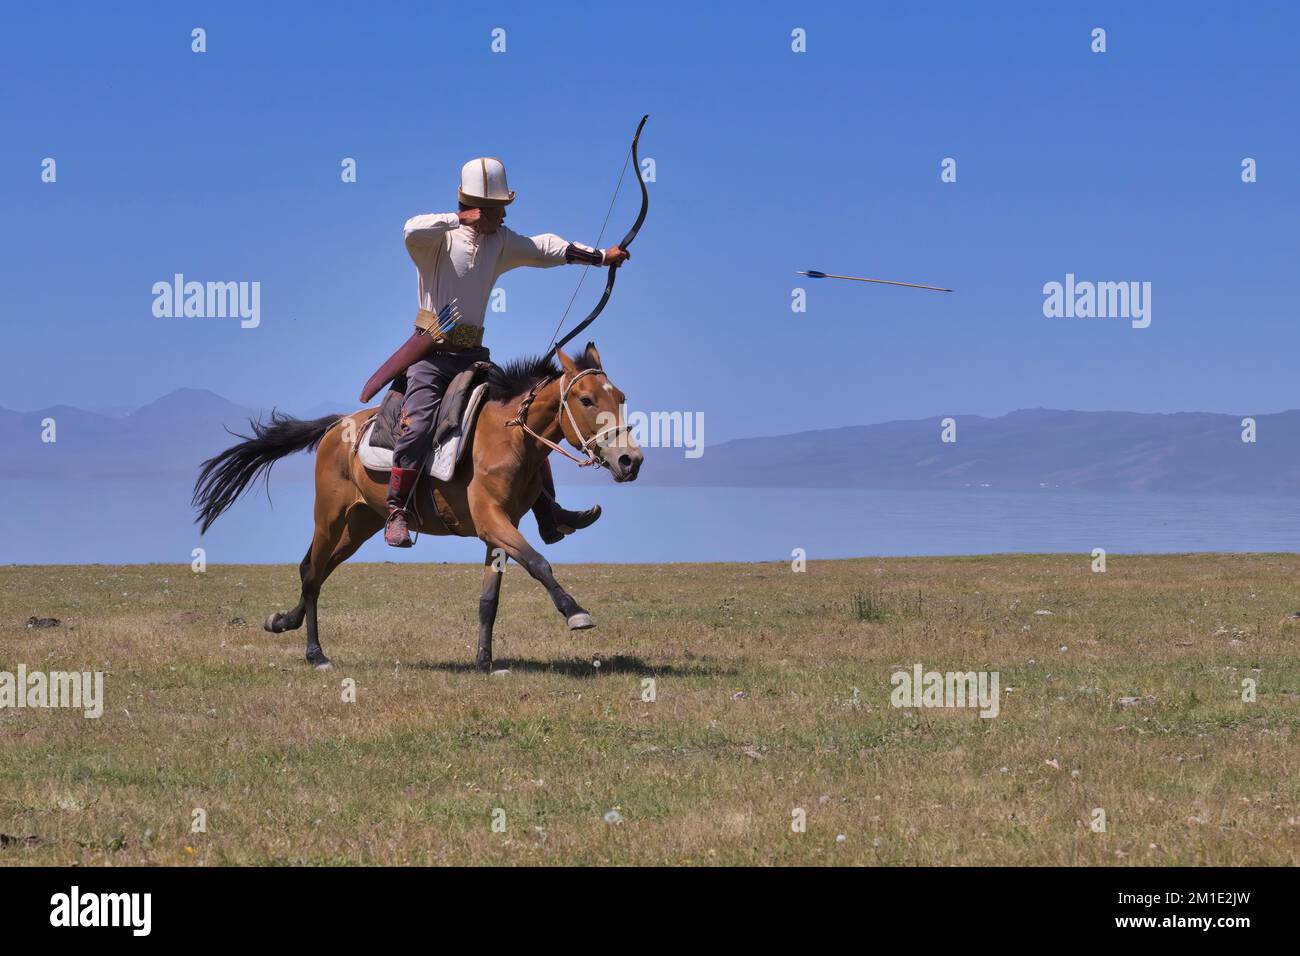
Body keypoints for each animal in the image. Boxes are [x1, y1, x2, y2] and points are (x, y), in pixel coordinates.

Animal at [191, 343, 639, 671]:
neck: (505, 437)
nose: (630, 460)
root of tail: (337, 425)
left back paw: (285, 621)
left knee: (314, 571)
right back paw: (316, 654)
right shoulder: (492, 522)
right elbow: (539, 563)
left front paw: (484, 662)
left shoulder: (498, 531)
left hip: (361, 524)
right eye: (586, 399)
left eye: (620, 396)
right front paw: (575, 612)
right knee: (312, 571)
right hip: (330, 517)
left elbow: (489, 601)